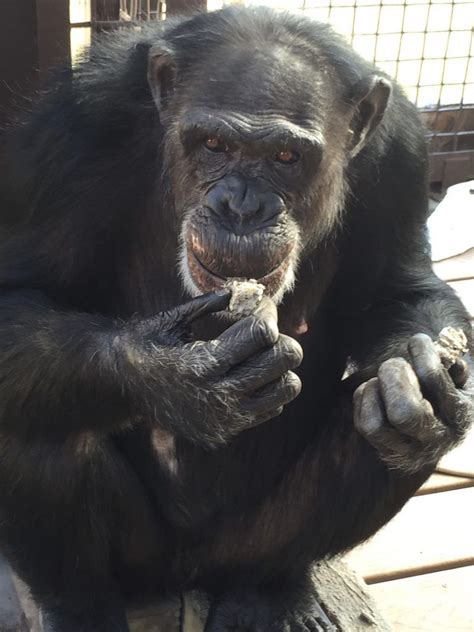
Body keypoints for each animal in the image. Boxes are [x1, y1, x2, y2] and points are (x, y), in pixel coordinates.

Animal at [0, 6, 472, 632]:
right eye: (214, 144)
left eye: (286, 158)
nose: (241, 206)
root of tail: (187, 573)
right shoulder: (70, 132)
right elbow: (19, 294)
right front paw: (172, 378)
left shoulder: (402, 150)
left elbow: (400, 287)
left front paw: (424, 378)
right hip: (141, 559)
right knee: (35, 422)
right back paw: (77, 608)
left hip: (248, 542)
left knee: (380, 429)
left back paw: (269, 589)